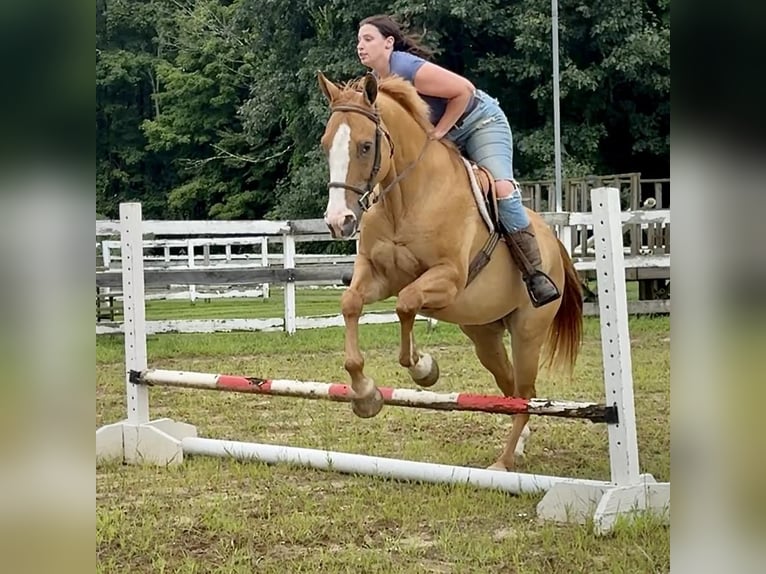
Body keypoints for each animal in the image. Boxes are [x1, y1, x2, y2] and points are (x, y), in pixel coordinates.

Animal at [316, 72, 584, 472]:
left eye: (364, 146)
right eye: (325, 146)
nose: (339, 221)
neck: (406, 199)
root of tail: (553, 241)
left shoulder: (447, 278)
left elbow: (406, 304)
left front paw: (422, 367)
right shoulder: (378, 275)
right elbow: (352, 304)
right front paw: (365, 394)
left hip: (528, 331)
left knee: (524, 391)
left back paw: (503, 462)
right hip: (484, 335)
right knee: (514, 389)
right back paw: (519, 444)